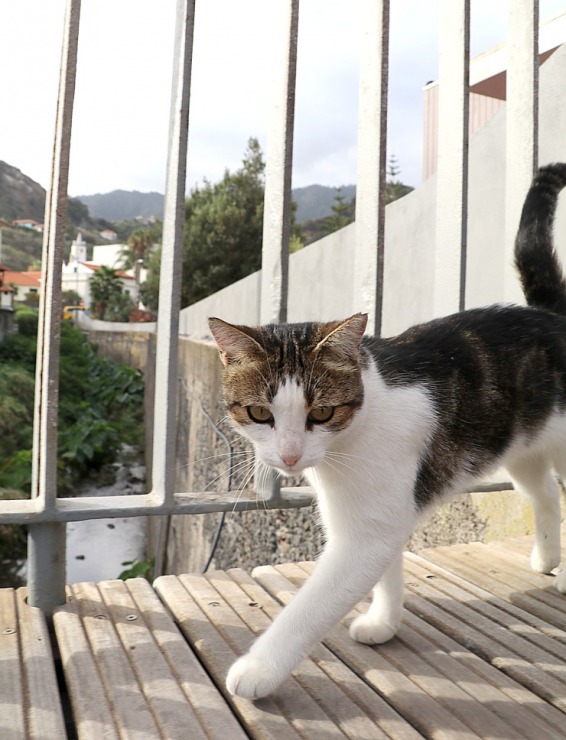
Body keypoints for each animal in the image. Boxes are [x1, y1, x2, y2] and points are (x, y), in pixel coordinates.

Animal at [210, 163, 566, 700]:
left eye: (321, 413)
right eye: (258, 413)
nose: (290, 456)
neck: (355, 433)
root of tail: (550, 314)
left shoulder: (365, 533)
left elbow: (311, 607)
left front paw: (259, 668)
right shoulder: (381, 515)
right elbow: (387, 568)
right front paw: (384, 621)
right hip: (520, 444)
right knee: (546, 493)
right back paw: (547, 557)